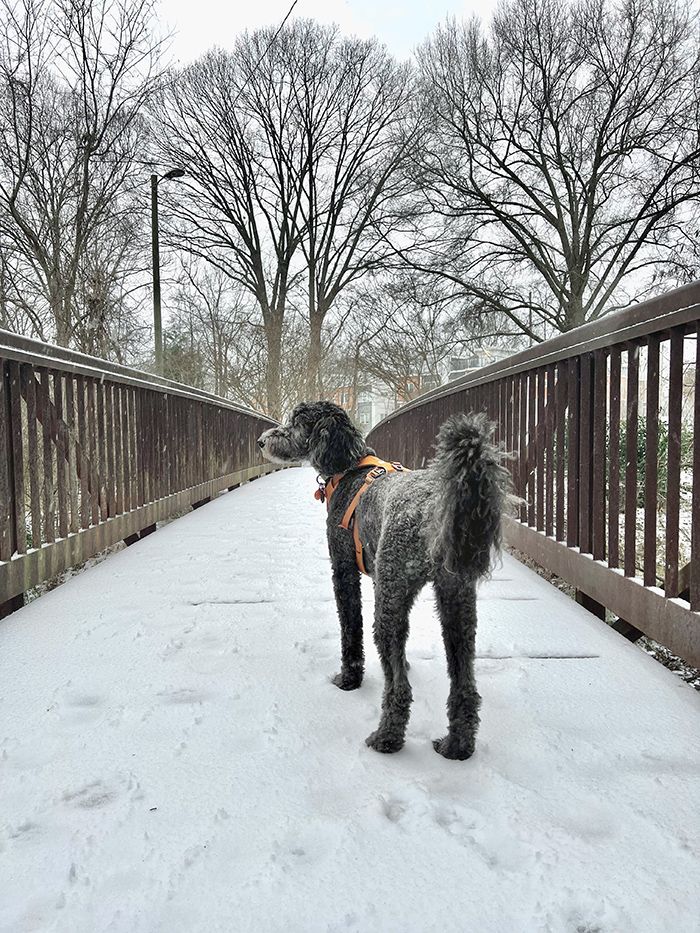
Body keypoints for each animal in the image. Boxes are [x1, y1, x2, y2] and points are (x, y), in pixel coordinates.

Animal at [258, 400, 508, 760]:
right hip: (456, 604)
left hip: (390, 599)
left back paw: (386, 737)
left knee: (399, 688)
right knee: (465, 686)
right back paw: (456, 746)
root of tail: (432, 508)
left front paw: (349, 679)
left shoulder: (344, 569)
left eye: (295, 423)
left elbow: (350, 630)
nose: (262, 441)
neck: (350, 468)